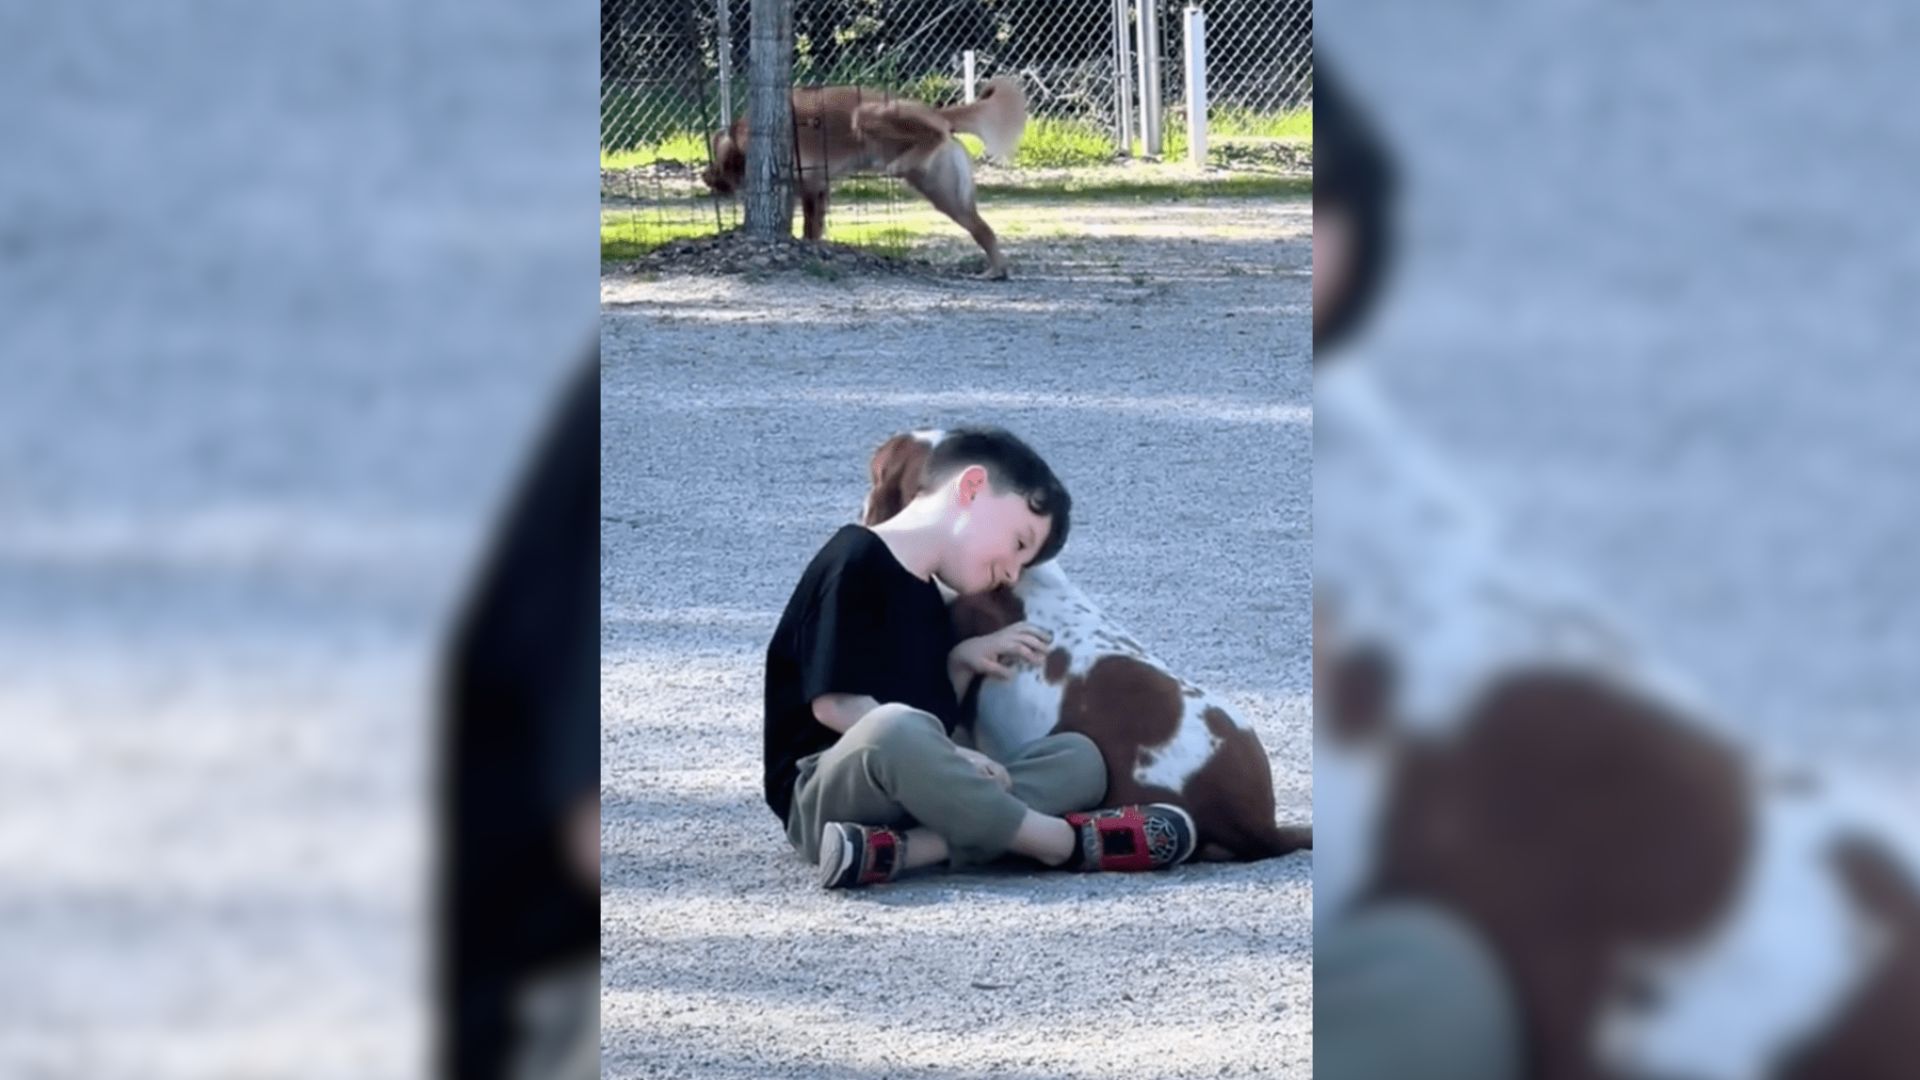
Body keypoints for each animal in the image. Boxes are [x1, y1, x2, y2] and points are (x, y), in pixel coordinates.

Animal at [706, 75, 1029, 276]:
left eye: (716, 164)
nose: (704, 177)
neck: (742, 138)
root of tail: (937, 113)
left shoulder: (812, 184)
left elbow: (810, 225)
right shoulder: (817, 188)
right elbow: (814, 224)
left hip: (868, 115)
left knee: (933, 133)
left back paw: (901, 162)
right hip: (943, 190)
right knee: (983, 229)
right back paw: (996, 270)